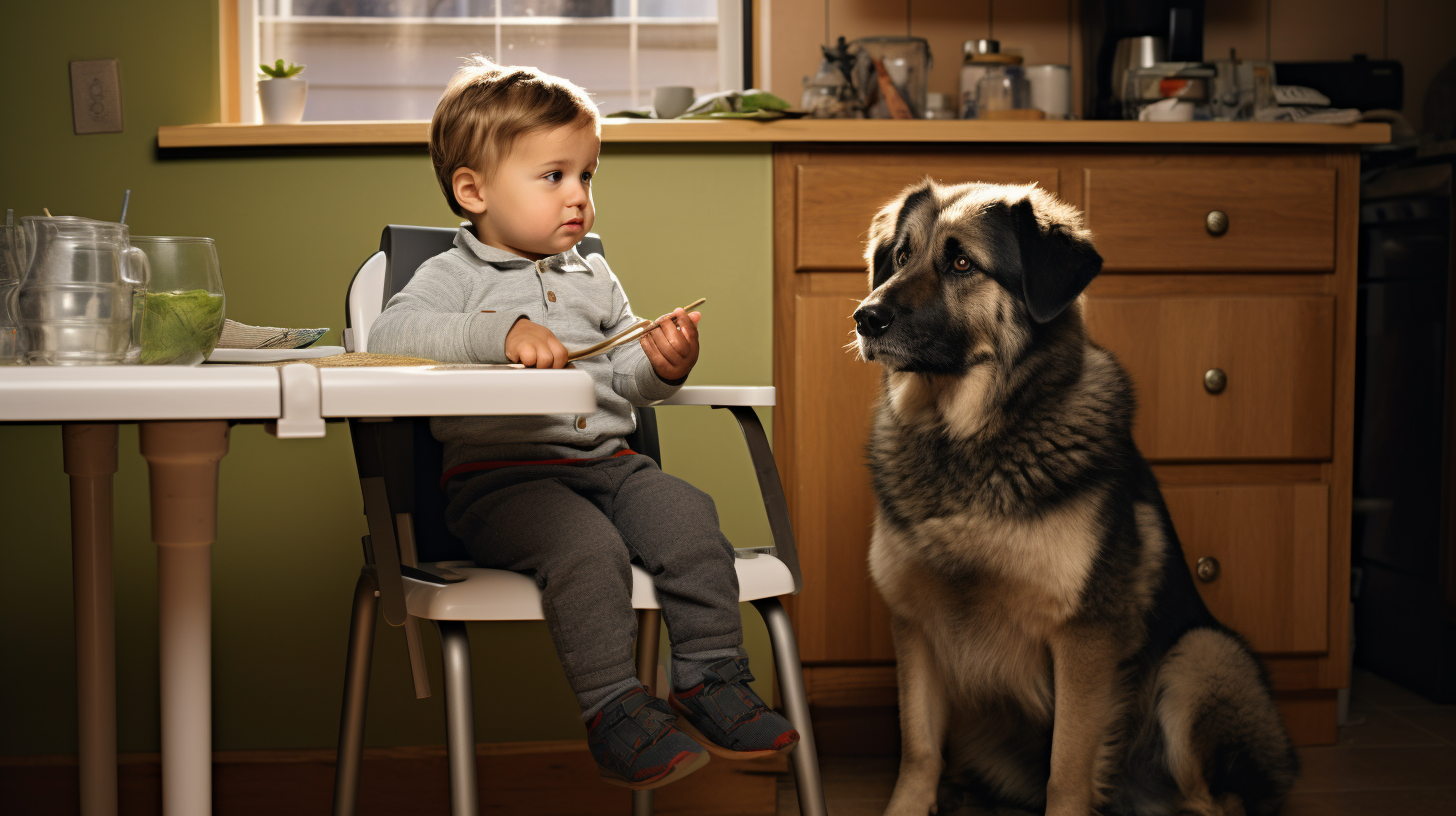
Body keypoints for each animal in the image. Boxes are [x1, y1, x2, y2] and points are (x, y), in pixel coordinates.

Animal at [850, 179, 1298, 816]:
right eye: (902, 256)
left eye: (962, 263)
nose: (865, 318)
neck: (965, 441)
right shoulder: (914, 626)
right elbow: (919, 751)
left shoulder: (1084, 639)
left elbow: (1067, 770)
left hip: (1202, 656)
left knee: (1213, 800)